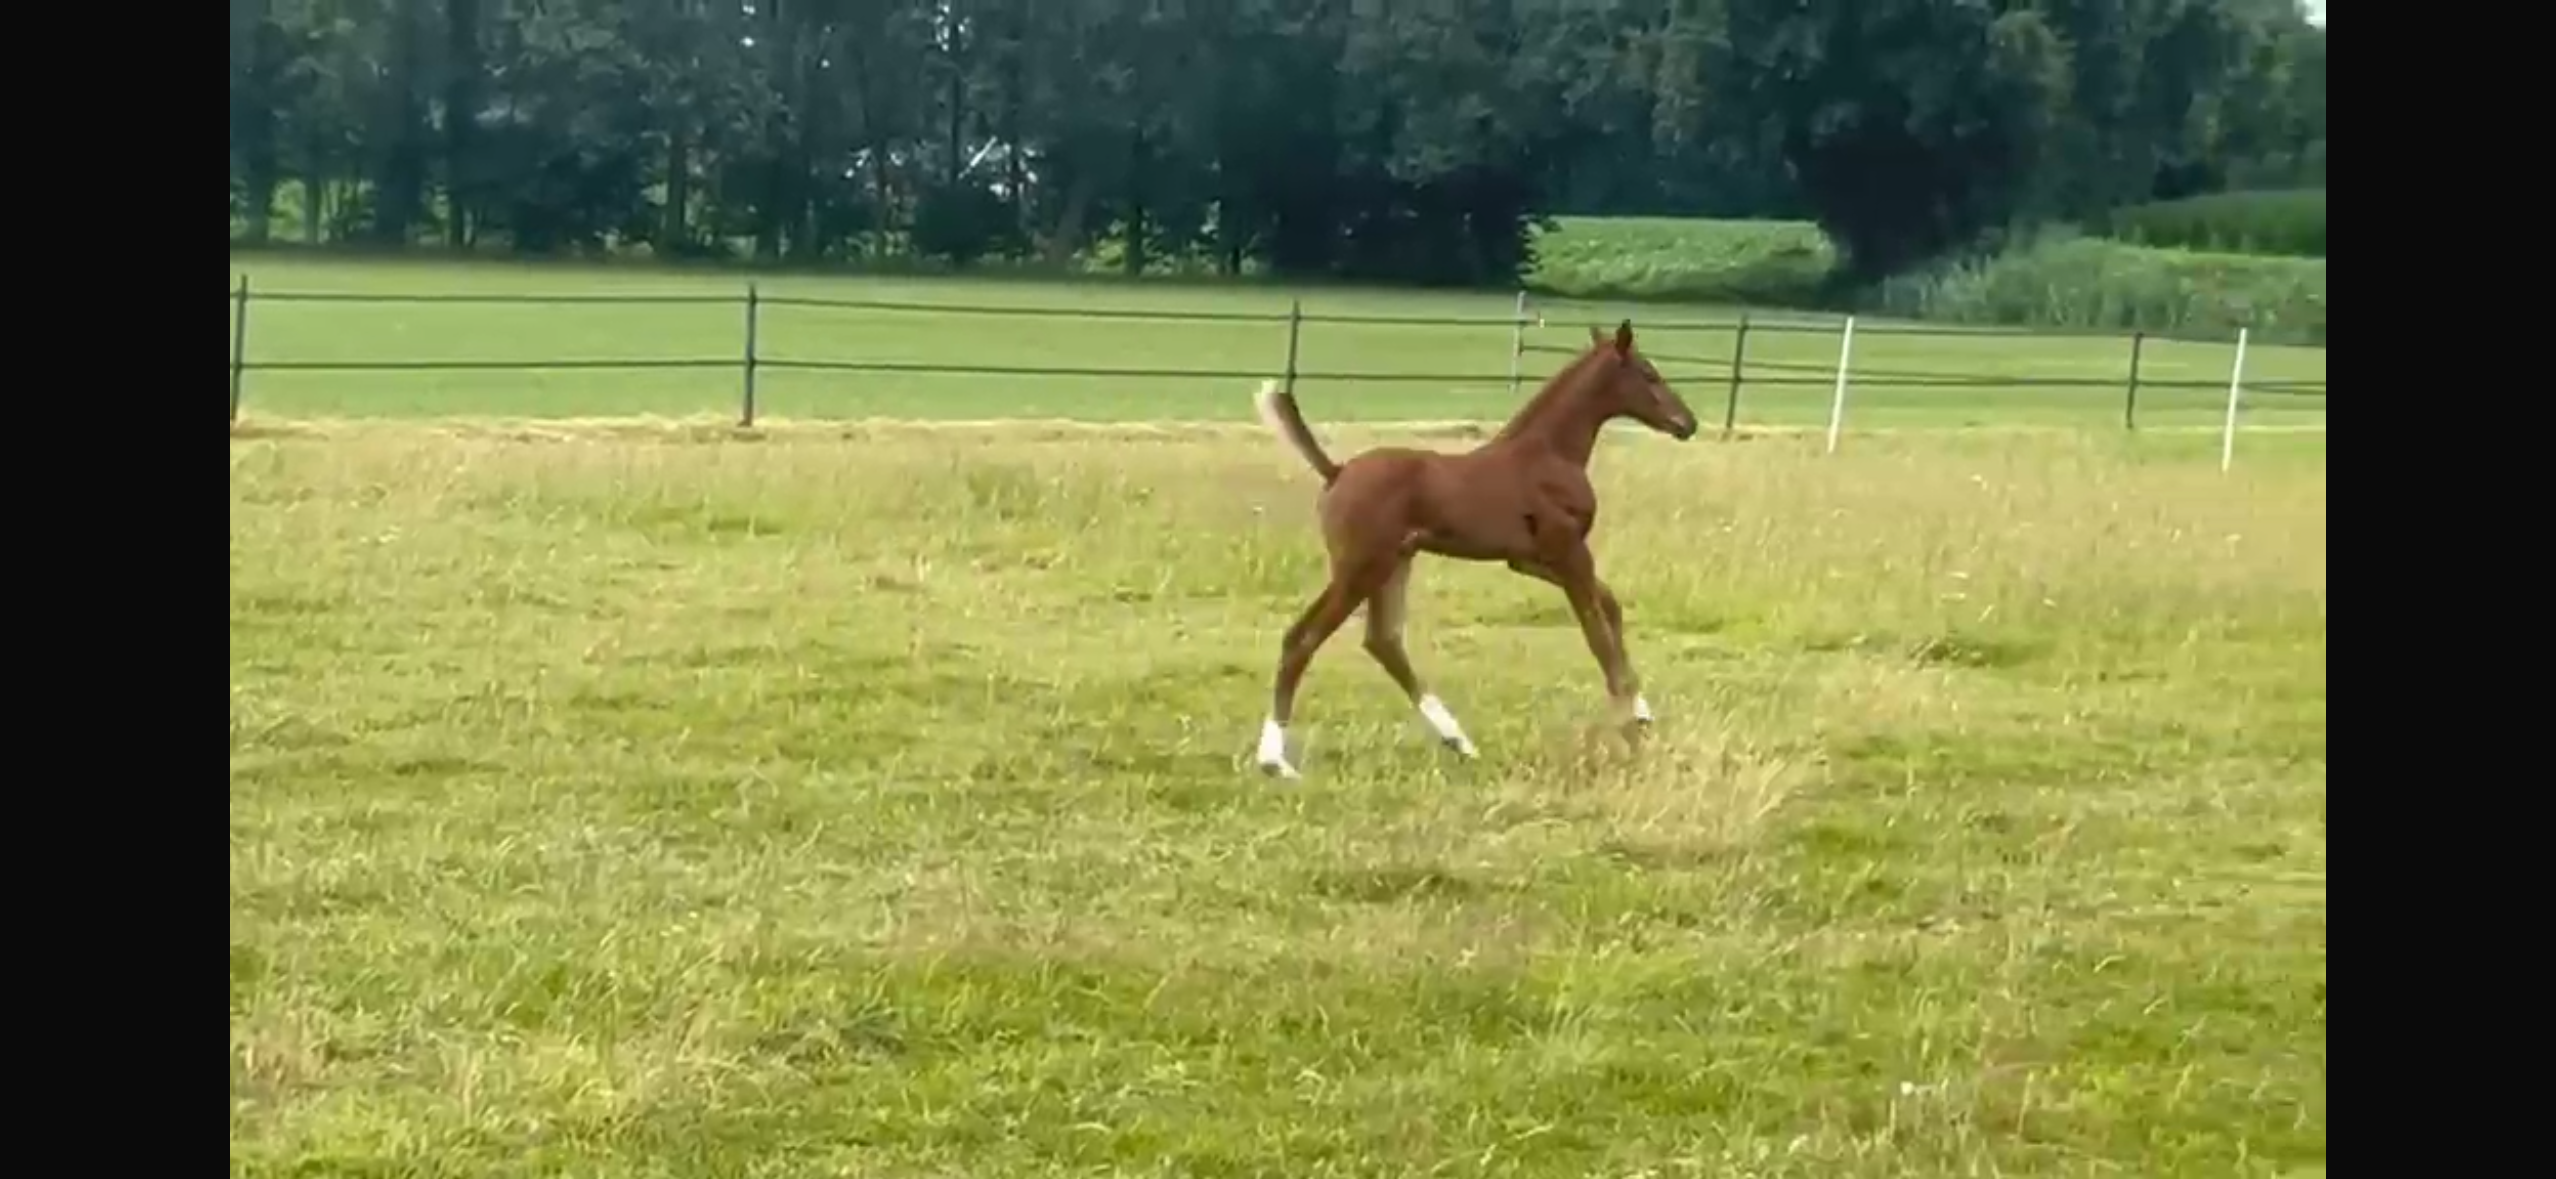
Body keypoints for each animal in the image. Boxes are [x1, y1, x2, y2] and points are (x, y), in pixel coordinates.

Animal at [1247, 319, 1702, 779]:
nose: (1688, 423)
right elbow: (1597, 635)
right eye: (1649, 374)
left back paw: (1459, 741)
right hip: (1362, 568)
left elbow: (1610, 606)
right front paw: (1630, 728)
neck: (1548, 454)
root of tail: (1336, 471)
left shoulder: (1530, 559)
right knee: (1303, 639)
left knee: (1383, 641)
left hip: (1394, 563)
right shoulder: (1569, 552)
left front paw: (1641, 713)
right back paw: (1275, 760)